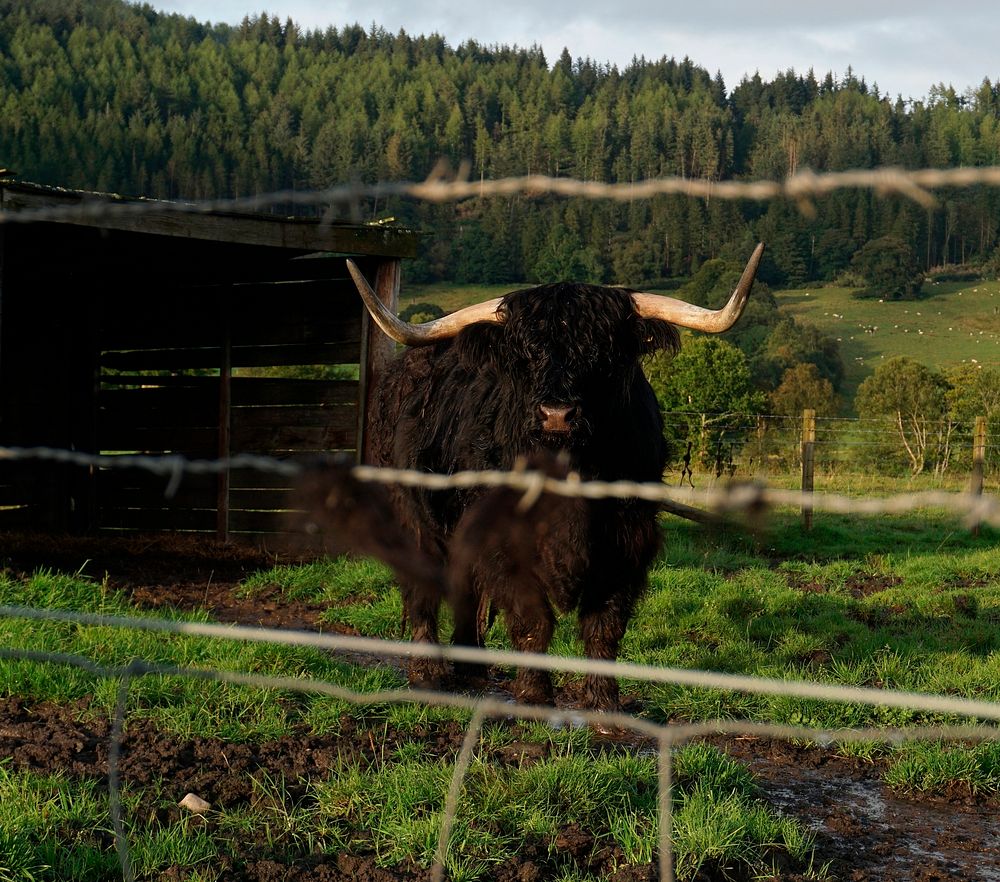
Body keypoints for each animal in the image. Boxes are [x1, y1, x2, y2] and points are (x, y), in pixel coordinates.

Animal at [348, 246, 760, 708]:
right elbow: (533, 619)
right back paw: (428, 672)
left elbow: (605, 625)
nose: (557, 414)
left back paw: (471, 666)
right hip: (413, 514)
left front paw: (603, 702)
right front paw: (533, 693)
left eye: (604, 352)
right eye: (524, 355)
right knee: (421, 584)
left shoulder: (628, 539)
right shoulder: (502, 538)